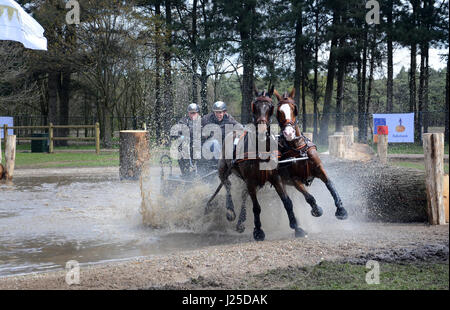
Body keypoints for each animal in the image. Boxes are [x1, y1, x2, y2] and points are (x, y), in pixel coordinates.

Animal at [216, 87, 308, 242]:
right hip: (224, 168)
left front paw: (297, 228)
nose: (262, 130)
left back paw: (241, 222)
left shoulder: (275, 178)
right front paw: (258, 231)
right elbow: (256, 207)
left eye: (271, 107)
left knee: (243, 194)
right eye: (255, 106)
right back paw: (230, 211)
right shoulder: (251, 181)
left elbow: (287, 202)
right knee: (227, 184)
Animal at [272, 87, 350, 220]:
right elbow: (309, 197)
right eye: (278, 111)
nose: (289, 133)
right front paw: (316, 209)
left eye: (294, 109)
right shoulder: (295, 179)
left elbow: (330, 184)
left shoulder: (319, 168)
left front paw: (341, 209)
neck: (299, 149)